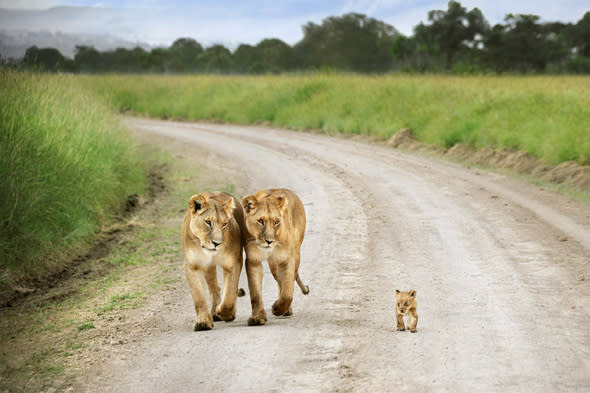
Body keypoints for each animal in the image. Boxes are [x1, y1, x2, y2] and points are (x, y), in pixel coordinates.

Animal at [180, 191, 245, 330]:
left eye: (224, 224)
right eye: (208, 222)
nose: (217, 243)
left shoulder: (233, 262)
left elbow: (230, 293)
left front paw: (225, 313)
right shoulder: (191, 265)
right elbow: (198, 297)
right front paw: (203, 322)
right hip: (208, 267)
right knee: (214, 288)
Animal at [243, 187, 312, 324]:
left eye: (276, 222)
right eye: (260, 221)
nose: (269, 241)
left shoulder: (287, 259)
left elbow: (287, 292)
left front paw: (277, 309)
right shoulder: (253, 260)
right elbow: (255, 292)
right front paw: (257, 318)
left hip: (295, 254)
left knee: (288, 281)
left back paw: (285, 309)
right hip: (273, 264)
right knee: (280, 281)